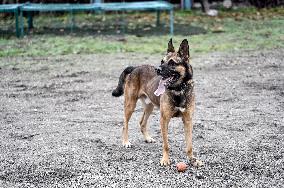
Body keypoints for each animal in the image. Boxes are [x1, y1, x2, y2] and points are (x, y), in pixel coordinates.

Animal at [111, 39, 202, 167]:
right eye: (162, 61)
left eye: (172, 63)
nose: (158, 70)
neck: (178, 90)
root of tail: (135, 67)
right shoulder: (164, 120)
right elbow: (166, 144)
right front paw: (165, 160)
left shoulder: (188, 120)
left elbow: (189, 145)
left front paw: (192, 160)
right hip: (130, 105)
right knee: (125, 124)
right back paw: (125, 142)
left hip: (149, 107)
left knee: (142, 122)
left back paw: (147, 138)